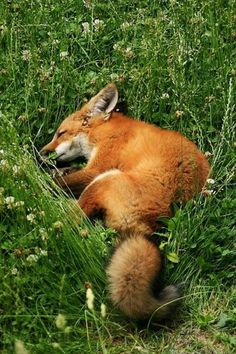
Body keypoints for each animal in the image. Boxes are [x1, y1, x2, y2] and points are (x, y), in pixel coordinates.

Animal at [40, 83, 210, 320]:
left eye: (60, 133)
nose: (40, 154)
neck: (105, 131)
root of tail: (149, 226)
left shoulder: (97, 169)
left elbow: (56, 182)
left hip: (104, 179)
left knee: (69, 220)